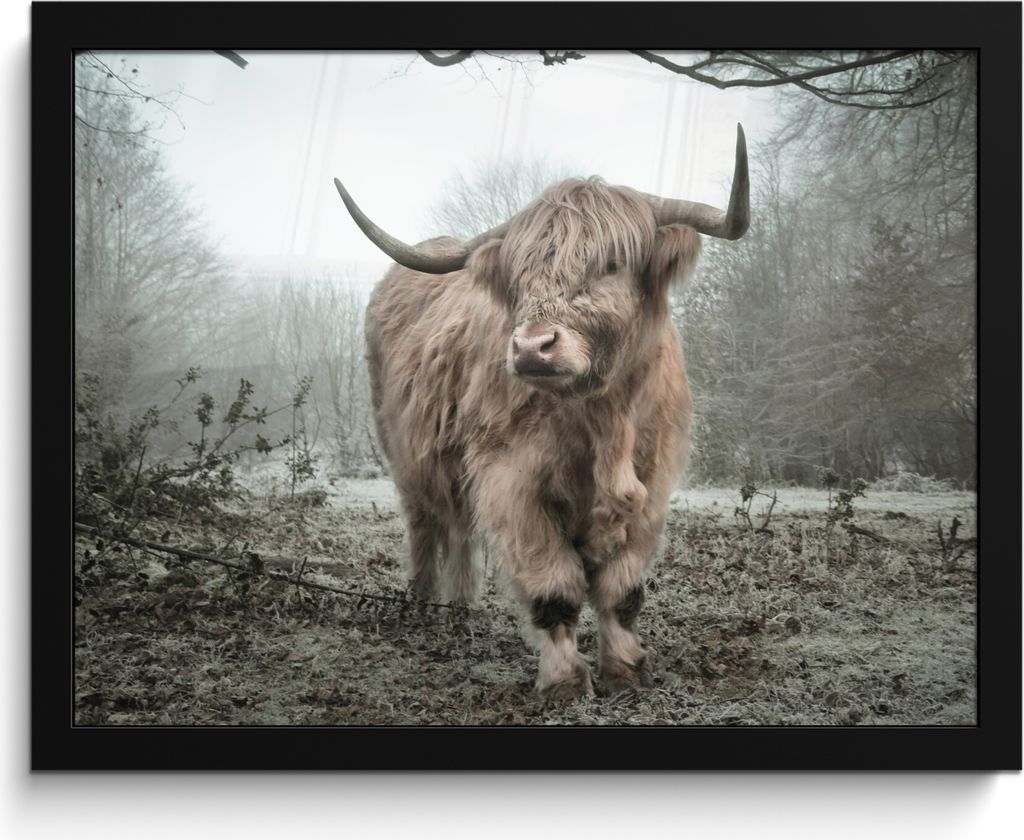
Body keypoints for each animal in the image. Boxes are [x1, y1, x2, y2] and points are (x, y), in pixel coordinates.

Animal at [333, 125, 749, 701]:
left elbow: (622, 591)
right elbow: (555, 589)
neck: (602, 422)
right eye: (520, 276)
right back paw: (423, 602)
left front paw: (625, 671)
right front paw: (565, 682)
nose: (532, 347)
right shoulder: (513, 484)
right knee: (425, 524)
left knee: (459, 529)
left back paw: (460, 607)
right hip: (404, 453)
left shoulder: (652, 485)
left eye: (611, 264)